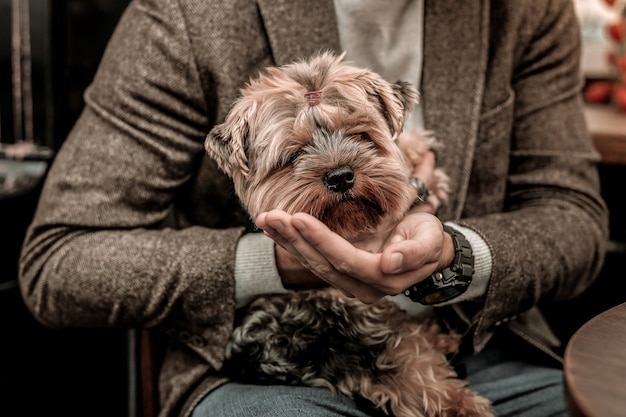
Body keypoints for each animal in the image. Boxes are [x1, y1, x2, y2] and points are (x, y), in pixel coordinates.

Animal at [205, 52, 492, 416]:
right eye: (293, 155)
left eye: (360, 135)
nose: (340, 176)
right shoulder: (347, 336)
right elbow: (415, 377)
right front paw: (464, 405)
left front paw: (411, 152)